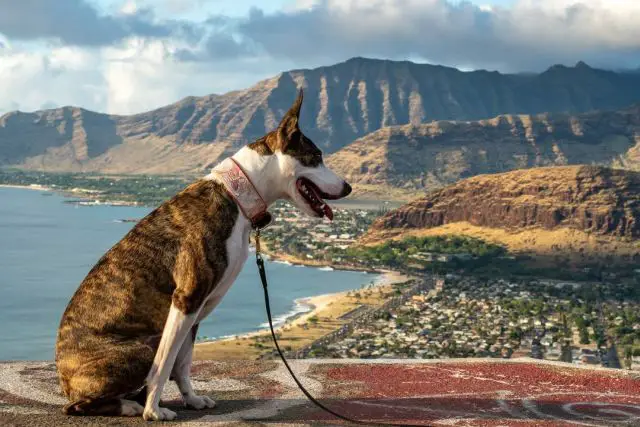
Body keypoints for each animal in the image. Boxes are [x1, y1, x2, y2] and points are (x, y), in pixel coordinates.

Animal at [53, 90, 356, 422]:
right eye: (315, 157)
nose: (348, 187)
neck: (236, 195)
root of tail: (65, 381)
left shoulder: (196, 308)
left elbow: (182, 362)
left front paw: (192, 399)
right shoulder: (187, 297)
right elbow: (165, 363)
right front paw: (153, 410)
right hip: (141, 347)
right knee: (78, 406)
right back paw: (130, 405)